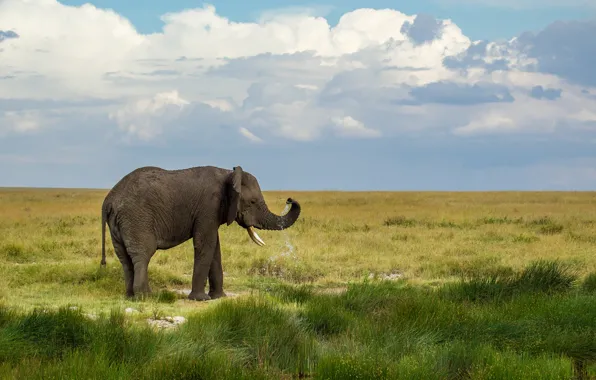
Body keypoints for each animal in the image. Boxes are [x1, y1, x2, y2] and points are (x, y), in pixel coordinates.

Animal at [100, 165, 302, 302]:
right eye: (252, 202)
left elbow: (215, 248)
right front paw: (201, 299)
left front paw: (219, 297)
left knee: (125, 258)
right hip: (137, 219)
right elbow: (206, 243)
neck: (228, 173)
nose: (290, 199)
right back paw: (147, 297)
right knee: (143, 255)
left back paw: (130, 297)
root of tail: (108, 201)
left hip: (118, 224)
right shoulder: (208, 206)